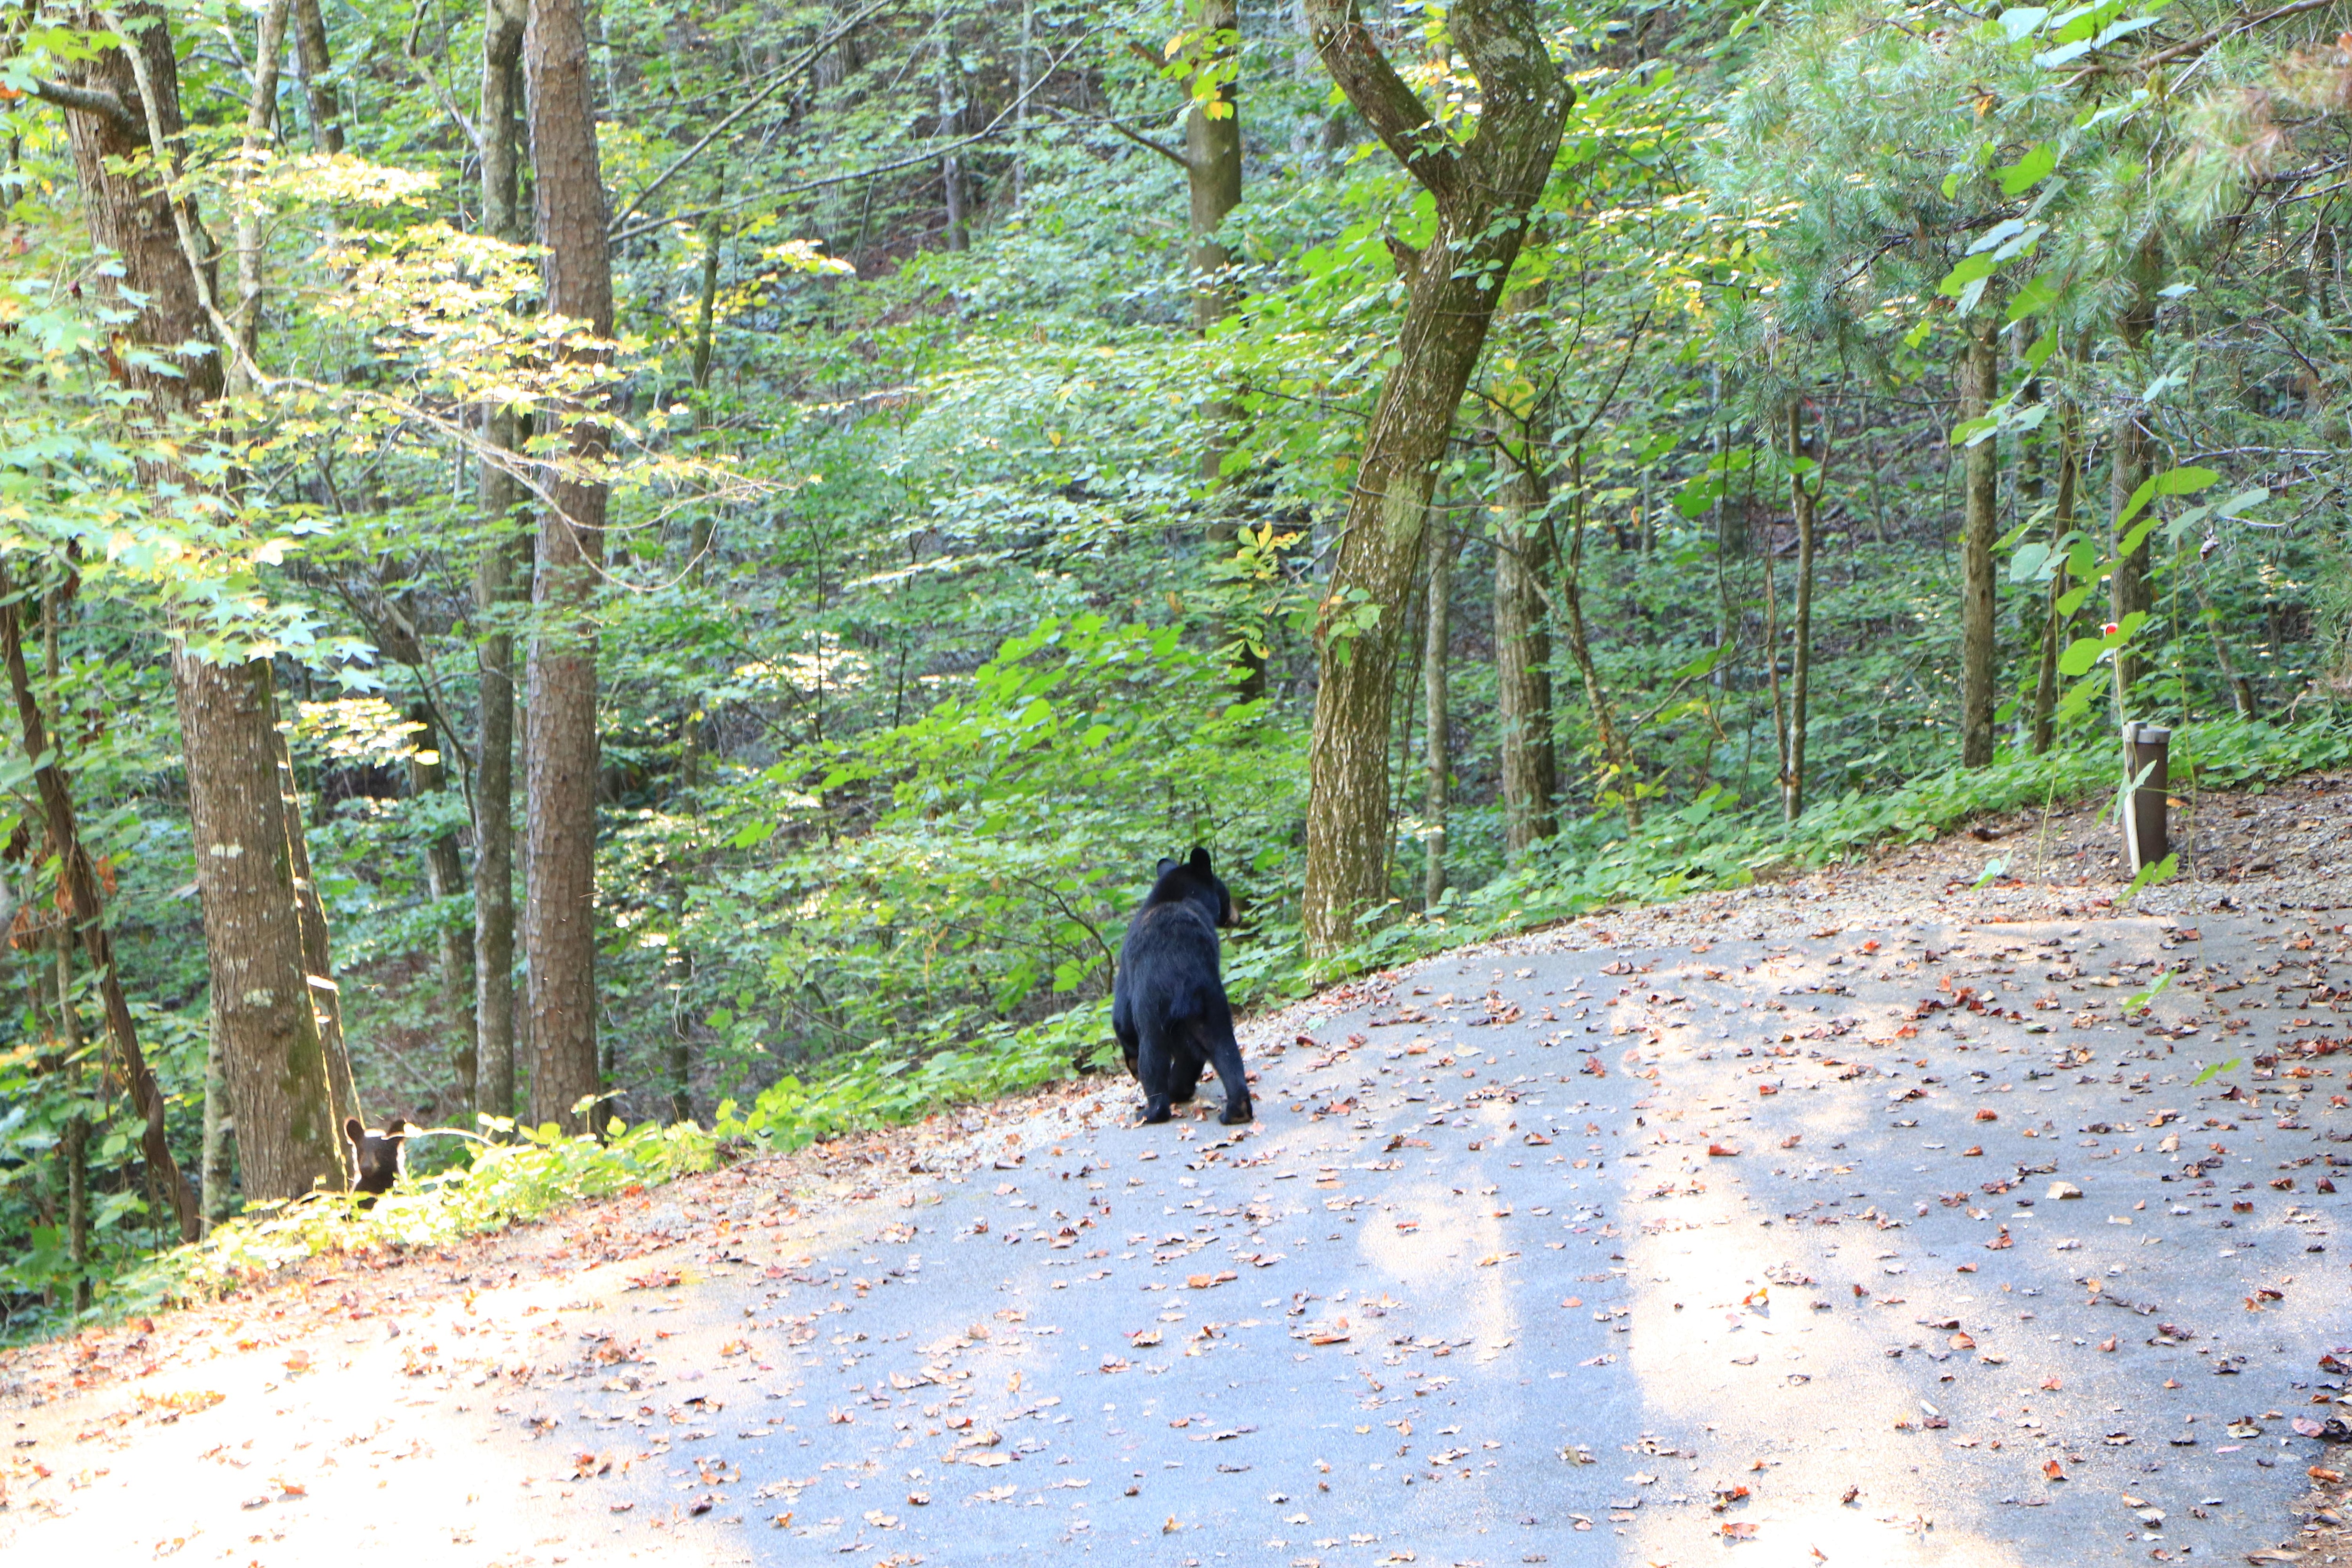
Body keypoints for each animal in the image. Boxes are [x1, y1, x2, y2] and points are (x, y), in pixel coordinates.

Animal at [1112, 847, 1252, 1126]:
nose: (1238, 915)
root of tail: (1182, 978)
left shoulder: (1127, 968)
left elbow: (1121, 1017)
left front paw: (1131, 1061)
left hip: (1152, 1007)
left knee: (1153, 1056)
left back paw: (1154, 1109)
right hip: (1211, 1001)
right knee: (1223, 1048)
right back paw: (1235, 1109)